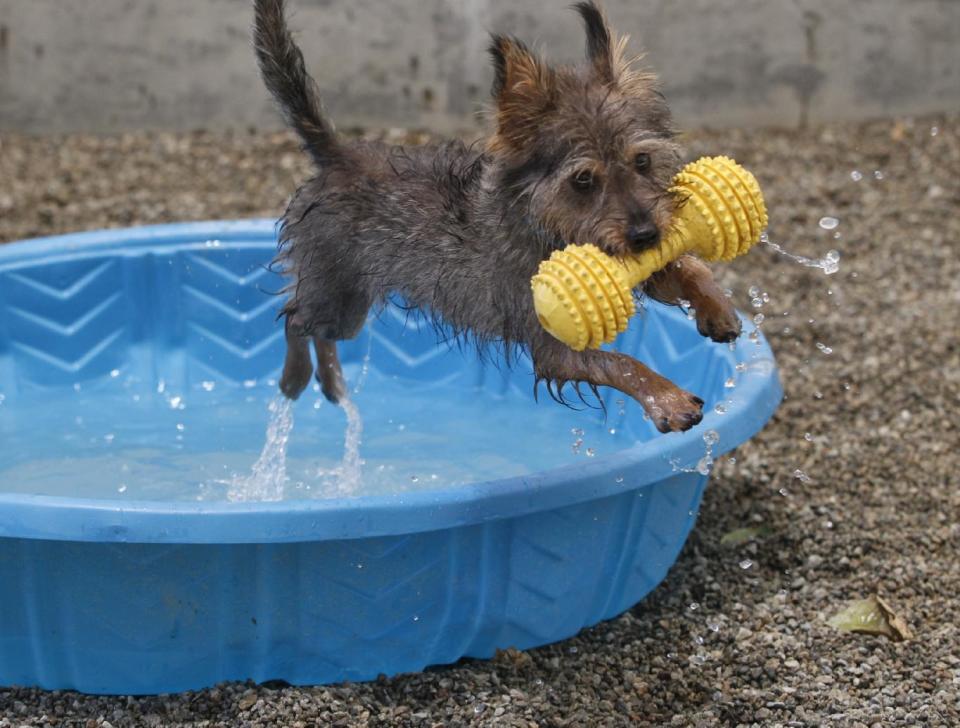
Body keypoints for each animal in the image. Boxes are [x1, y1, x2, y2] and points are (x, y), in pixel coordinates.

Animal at [251, 0, 740, 432]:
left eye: (641, 161)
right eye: (583, 180)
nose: (645, 235)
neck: (544, 226)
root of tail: (338, 155)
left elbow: (687, 266)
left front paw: (716, 307)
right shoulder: (552, 345)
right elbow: (621, 362)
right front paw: (667, 398)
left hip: (349, 305)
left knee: (317, 331)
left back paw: (331, 381)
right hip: (334, 292)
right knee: (294, 320)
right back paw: (297, 377)